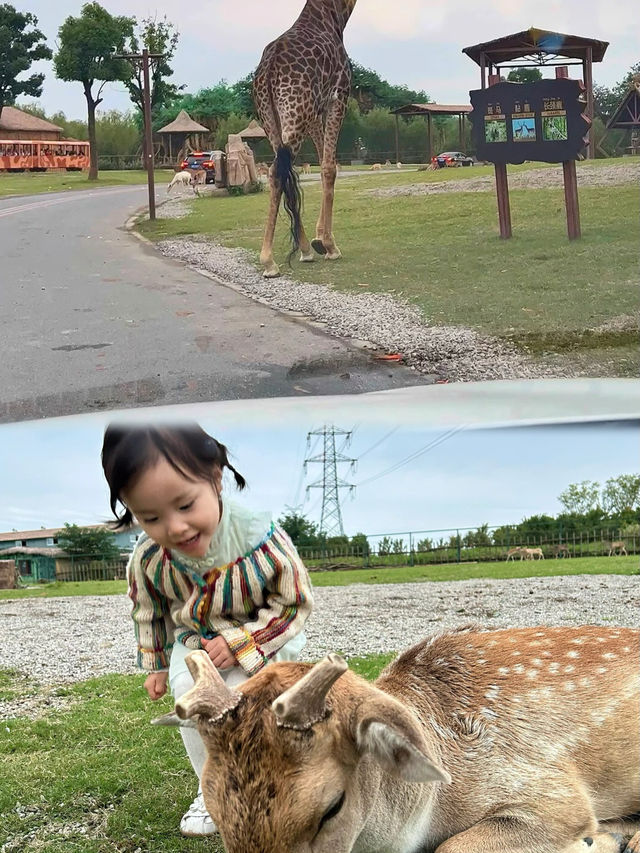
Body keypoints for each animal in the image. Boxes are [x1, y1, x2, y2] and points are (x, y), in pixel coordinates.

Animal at [252, 0, 358, 276]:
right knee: (279, 171)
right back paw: (269, 261)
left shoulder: (315, 111)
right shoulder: (338, 96)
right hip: (295, 112)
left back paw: (304, 250)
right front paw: (328, 244)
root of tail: (268, 70)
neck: (336, 15)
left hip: (273, 120)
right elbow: (330, 167)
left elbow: (322, 166)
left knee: (279, 172)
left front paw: (317, 241)